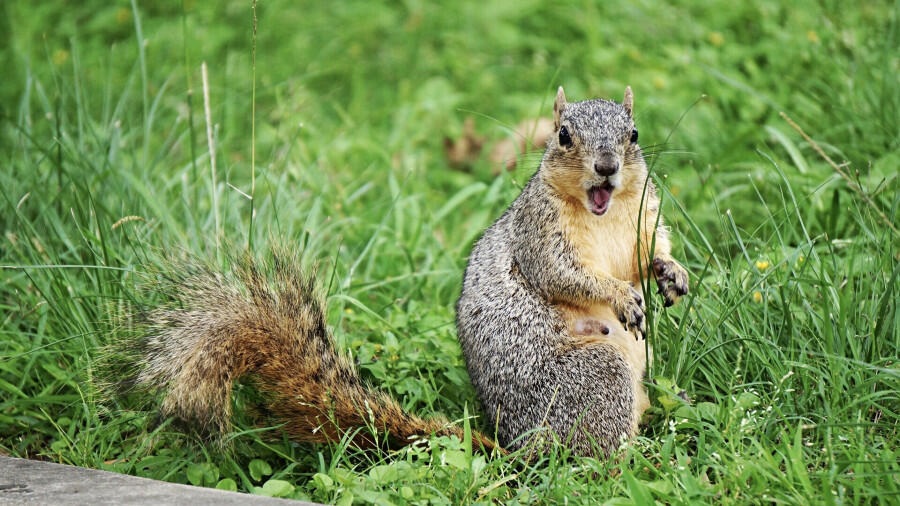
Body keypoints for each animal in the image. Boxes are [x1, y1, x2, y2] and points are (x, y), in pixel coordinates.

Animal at [123, 85, 688, 456]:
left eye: (634, 133)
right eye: (564, 135)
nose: (607, 167)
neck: (604, 212)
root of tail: (523, 448)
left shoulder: (643, 218)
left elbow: (648, 252)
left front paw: (672, 274)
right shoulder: (539, 234)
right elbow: (563, 275)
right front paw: (622, 296)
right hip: (593, 377)